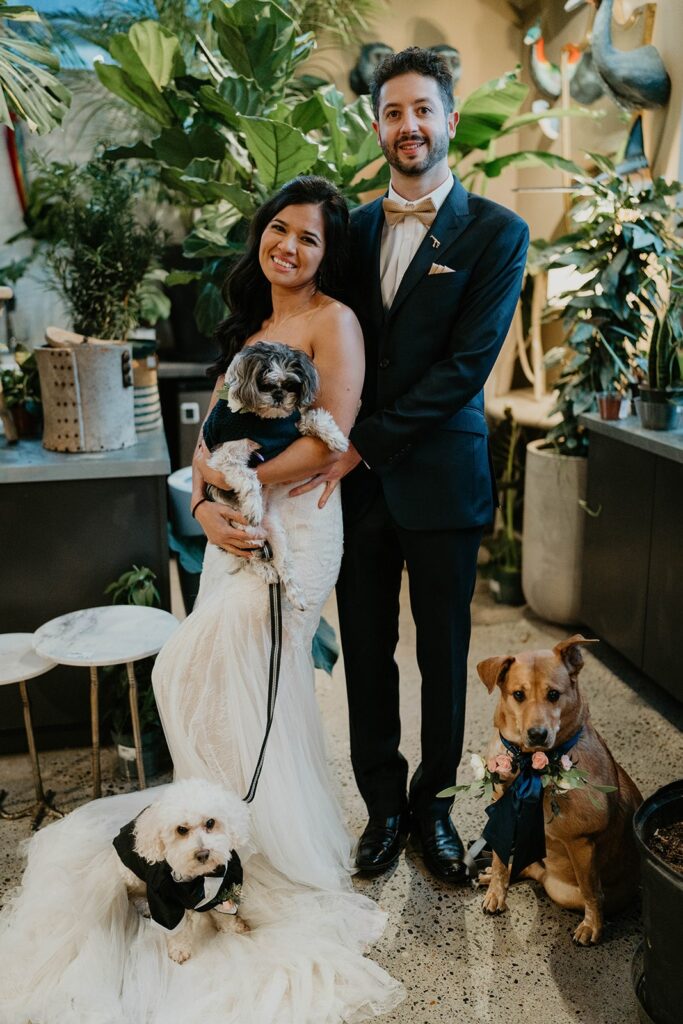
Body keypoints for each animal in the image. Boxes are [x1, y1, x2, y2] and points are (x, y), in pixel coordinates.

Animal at [200, 342, 344, 606]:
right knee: (249, 558)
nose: (279, 395)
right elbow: (249, 478)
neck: (267, 422)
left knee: (283, 562)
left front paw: (337, 438)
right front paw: (254, 506)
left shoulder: (292, 426)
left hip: (276, 534)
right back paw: (265, 569)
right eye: (265, 384)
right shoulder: (225, 458)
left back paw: (296, 595)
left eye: (291, 385)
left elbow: (314, 416)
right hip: (244, 533)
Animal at [475, 634, 643, 946]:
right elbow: (501, 859)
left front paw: (593, 926)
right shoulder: (502, 814)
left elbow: (592, 891)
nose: (537, 734)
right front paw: (497, 890)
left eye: (554, 694)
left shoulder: (582, 844)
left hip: (563, 890)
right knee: (532, 868)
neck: (530, 763)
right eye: (518, 695)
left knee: (547, 877)